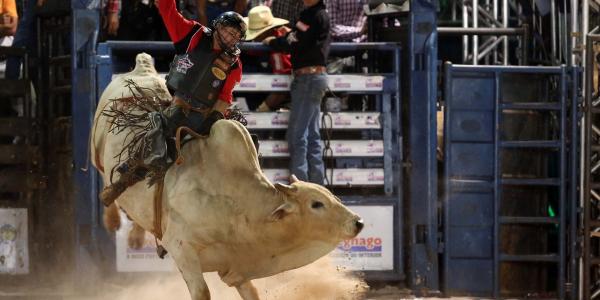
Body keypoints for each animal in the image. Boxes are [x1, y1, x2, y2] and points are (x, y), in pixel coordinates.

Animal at [89, 52, 366, 298]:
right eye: (316, 204)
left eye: (332, 196)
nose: (358, 222)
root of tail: (142, 68)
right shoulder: (181, 247)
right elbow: (202, 292)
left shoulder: (236, 266)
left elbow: (252, 293)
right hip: (96, 151)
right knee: (105, 180)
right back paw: (111, 214)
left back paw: (135, 235)